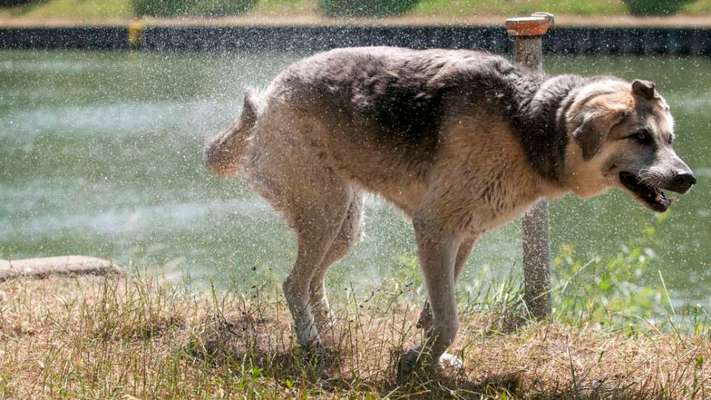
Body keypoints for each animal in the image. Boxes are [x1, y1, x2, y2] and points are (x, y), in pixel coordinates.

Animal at [203, 47, 700, 376]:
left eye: (670, 139)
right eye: (640, 137)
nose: (688, 178)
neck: (529, 123)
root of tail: (268, 98)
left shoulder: (464, 236)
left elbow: (435, 311)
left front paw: (430, 357)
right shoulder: (435, 229)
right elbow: (448, 318)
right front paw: (418, 362)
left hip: (345, 225)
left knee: (311, 281)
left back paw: (331, 332)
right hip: (324, 212)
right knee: (293, 283)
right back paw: (311, 343)